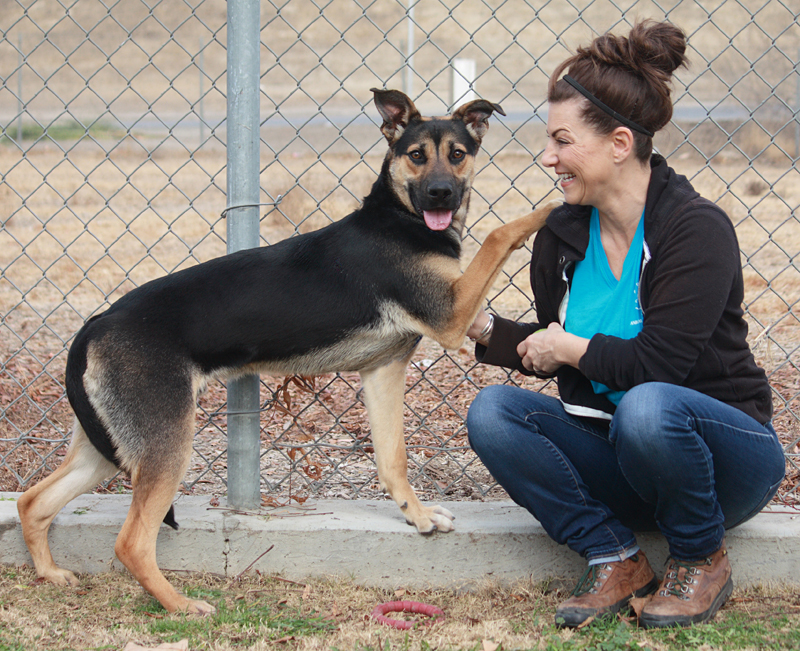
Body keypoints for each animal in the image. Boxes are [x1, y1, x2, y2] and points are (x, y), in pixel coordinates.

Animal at [17, 88, 559, 614]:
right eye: (417, 155)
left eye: (458, 155)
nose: (440, 193)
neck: (398, 217)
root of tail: (95, 323)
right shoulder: (450, 315)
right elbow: (501, 232)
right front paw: (556, 205)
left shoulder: (383, 369)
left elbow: (393, 459)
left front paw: (418, 516)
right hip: (165, 442)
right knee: (130, 542)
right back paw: (181, 605)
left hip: (110, 445)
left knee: (33, 501)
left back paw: (51, 574)